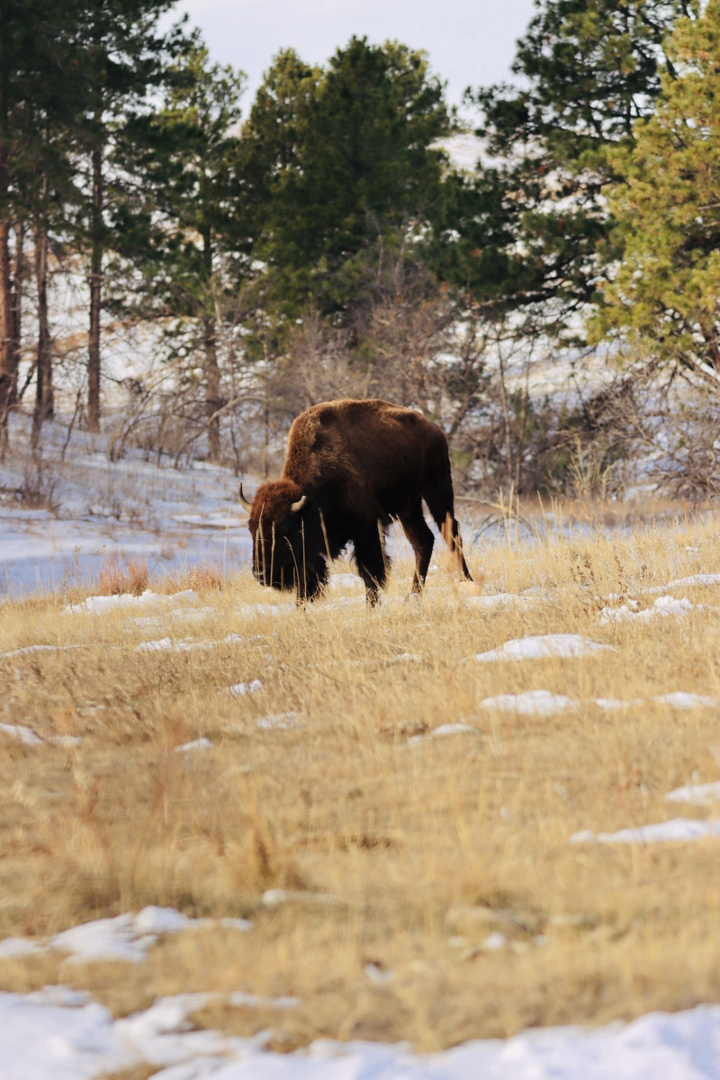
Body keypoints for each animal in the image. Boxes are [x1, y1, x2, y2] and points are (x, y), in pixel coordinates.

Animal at [239, 399, 470, 604]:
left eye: (284, 528)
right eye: (251, 528)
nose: (260, 574)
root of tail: (435, 430)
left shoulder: (366, 529)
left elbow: (370, 572)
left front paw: (372, 606)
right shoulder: (309, 552)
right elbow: (307, 581)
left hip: (437, 491)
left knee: (451, 533)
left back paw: (466, 581)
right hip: (409, 508)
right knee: (423, 541)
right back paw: (412, 596)